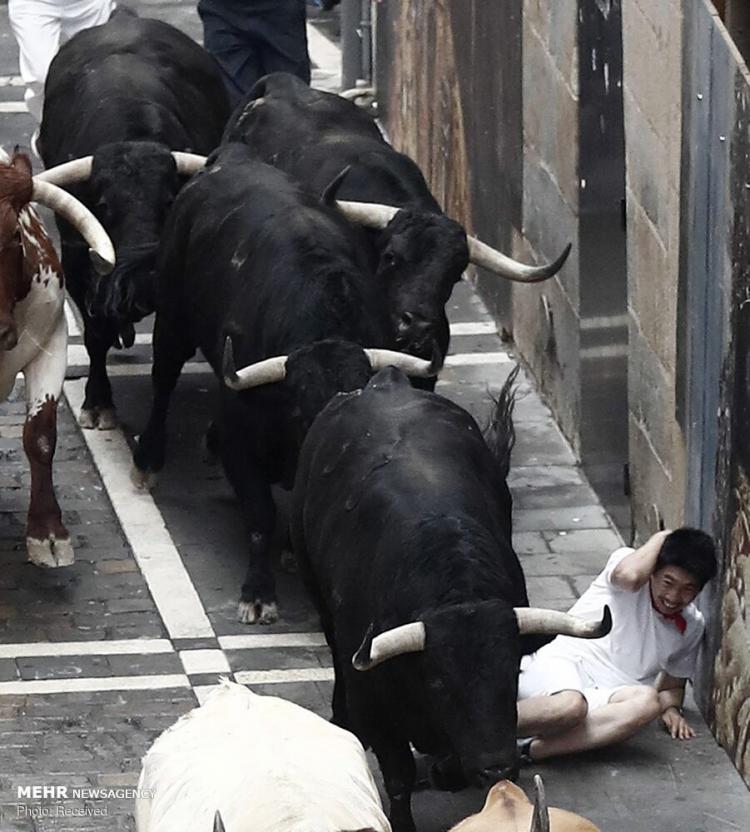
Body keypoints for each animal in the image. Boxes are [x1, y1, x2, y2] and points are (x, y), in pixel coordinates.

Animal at [38, 8, 231, 428]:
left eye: (170, 199)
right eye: (104, 204)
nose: (142, 283)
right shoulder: (76, 258)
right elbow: (94, 335)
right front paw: (98, 402)